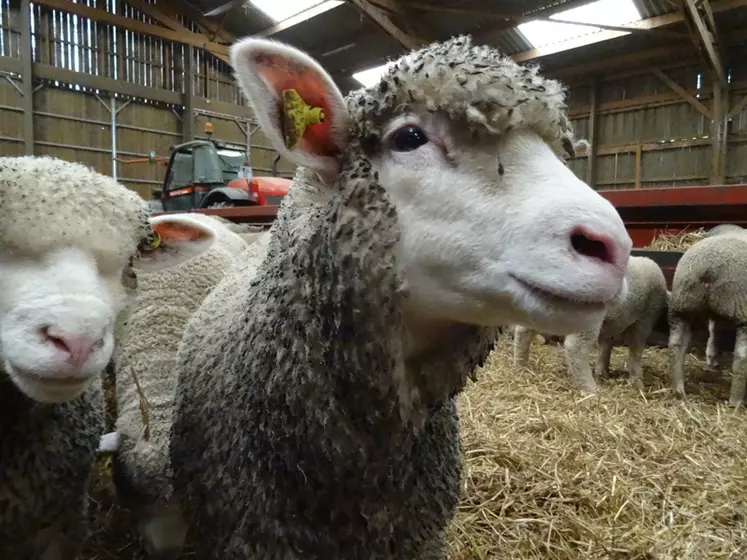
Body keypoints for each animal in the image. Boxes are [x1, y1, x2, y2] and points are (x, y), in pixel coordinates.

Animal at [516, 256, 668, 392]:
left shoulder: (611, 324)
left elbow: (606, 345)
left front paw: (602, 371)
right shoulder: (645, 319)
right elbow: (636, 349)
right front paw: (637, 380)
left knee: (523, 330)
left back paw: (521, 365)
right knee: (576, 347)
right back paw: (591, 388)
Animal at [668, 223, 747, 402]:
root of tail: (708, 268)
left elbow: (714, 328)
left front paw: (712, 356)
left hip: (683, 304)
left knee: (677, 344)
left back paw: (678, 388)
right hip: (742, 308)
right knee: (741, 356)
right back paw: (736, 400)